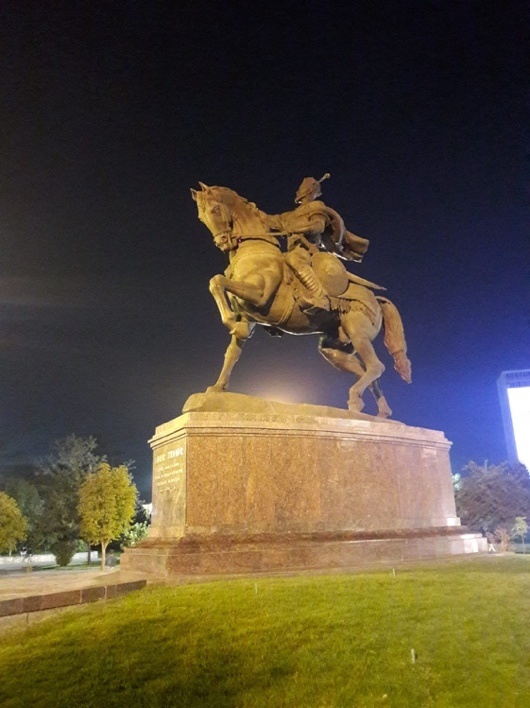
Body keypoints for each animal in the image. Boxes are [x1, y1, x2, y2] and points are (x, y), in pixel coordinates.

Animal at [188, 183, 410, 418]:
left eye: (215, 210)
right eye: (201, 216)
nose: (222, 242)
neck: (255, 251)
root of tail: (375, 298)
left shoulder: (259, 295)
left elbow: (217, 281)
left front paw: (230, 322)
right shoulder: (248, 316)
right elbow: (232, 352)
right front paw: (217, 388)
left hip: (358, 334)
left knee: (376, 367)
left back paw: (355, 400)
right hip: (335, 347)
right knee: (366, 370)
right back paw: (378, 412)